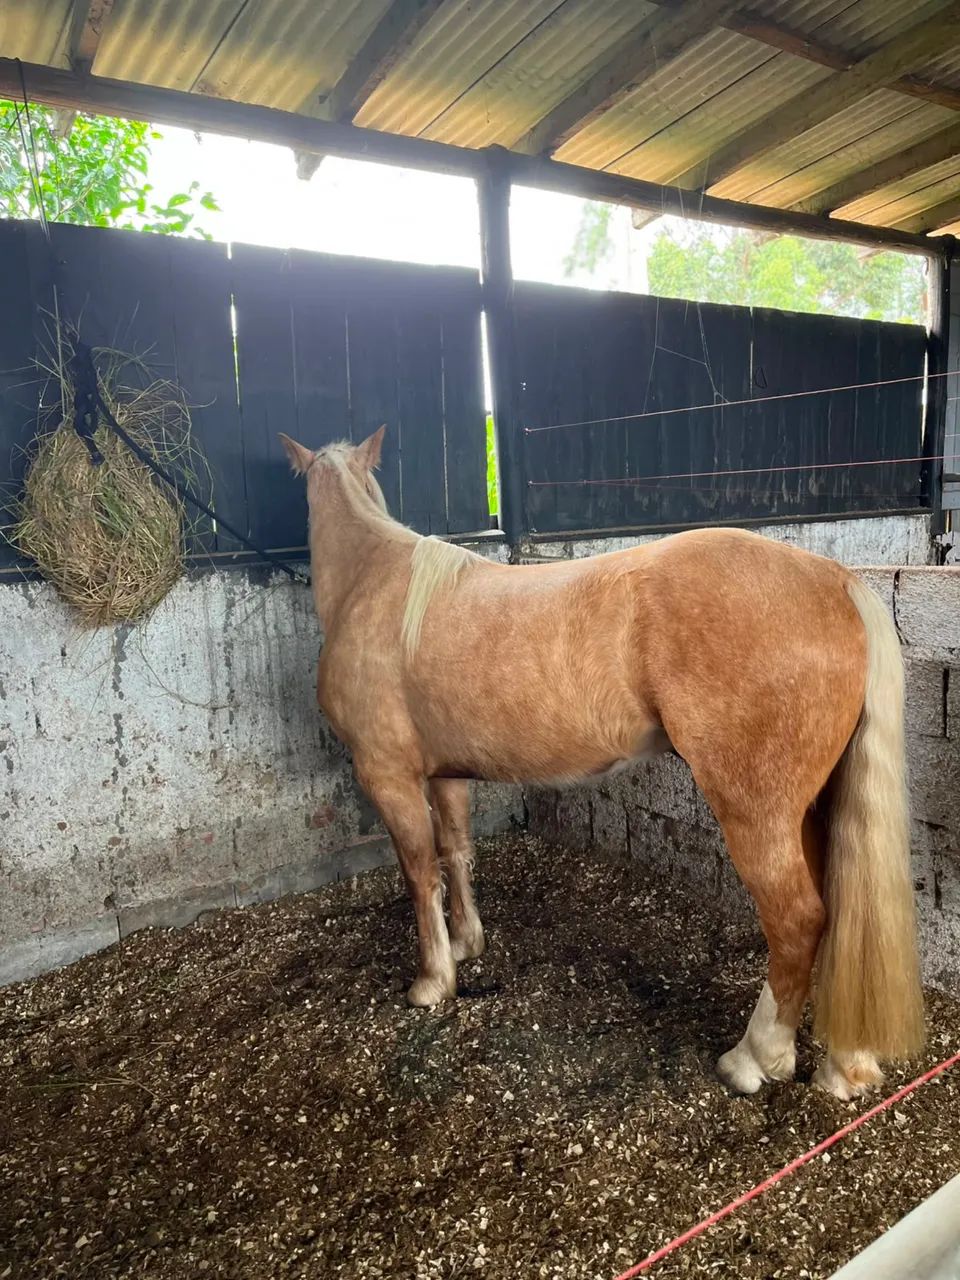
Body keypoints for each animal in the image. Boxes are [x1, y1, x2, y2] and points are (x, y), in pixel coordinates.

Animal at [279, 426, 924, 1101]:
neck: (375, 585)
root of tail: (835, 579)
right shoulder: (445, 773)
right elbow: (455, 852)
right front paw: (465, 945)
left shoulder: (388, 776)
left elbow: (419, 870)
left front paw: (432, 981)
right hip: (813, 807)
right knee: (843, 915)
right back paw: (846, 1066)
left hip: (758, 813)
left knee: (798, 920)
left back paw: (755, 1058)